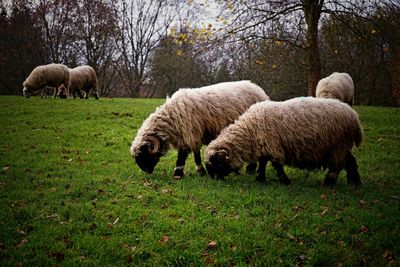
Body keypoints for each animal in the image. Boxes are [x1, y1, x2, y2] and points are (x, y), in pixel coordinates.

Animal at [130, 80, 270, 180]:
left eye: (144, 154)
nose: (146, 171)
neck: (172, 115)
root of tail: (258, 88)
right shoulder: (194, 134)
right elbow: (196, 153)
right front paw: (200, 171)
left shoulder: (190, 133)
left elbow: (183, 154)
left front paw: (178, 174)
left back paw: (251, 169)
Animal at [205, 97, 364, 187]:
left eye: (216, 163)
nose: (215, 180)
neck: (250, 130)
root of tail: (354, 117)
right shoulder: (265, 147)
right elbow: (263, 163)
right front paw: (260, 179)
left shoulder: (273, 146)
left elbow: (277, 165)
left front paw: (284, 181)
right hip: (341, 146)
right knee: (351, 161)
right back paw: (355, 182)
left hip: (338, 145)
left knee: (337, 166)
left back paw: (329, 183)